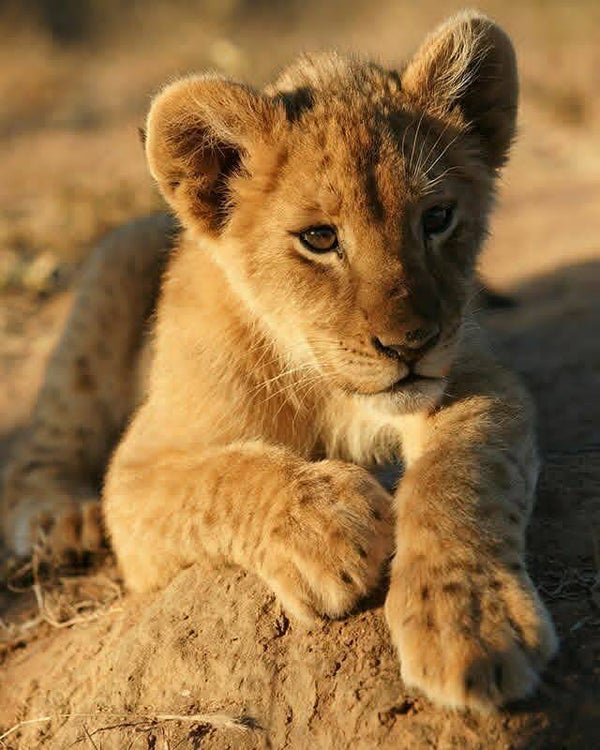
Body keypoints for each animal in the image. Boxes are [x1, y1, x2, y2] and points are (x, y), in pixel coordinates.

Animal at [1, 12, 557, 710]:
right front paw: (328, 526)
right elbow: (220, 479)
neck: (324, 381)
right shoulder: (134, 475)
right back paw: (57, 518)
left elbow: (459, 480)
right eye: (319, 238)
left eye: (436, 218)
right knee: (51, 435)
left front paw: (469, 624)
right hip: (111, 268)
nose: (411, 344)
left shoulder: (479, 379)